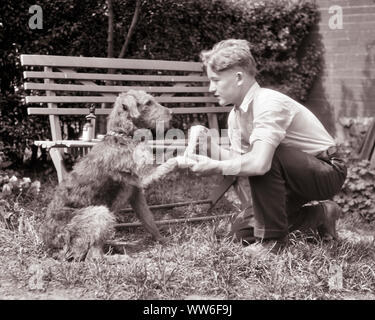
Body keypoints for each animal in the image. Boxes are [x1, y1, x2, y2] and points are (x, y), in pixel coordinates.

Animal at [40, 89, 179, 260]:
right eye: (148, 103)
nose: (172, 113)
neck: (123, 135)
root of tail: (49, 246)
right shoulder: (145, 176)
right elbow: (167, 163)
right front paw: (184, 158)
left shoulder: (136, 193)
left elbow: (149, 221)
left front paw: (163, 240)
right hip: (99, 212)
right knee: (94, 257)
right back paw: (121, 256)